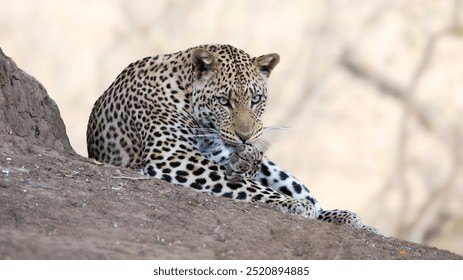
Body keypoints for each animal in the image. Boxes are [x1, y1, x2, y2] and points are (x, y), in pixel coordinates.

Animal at [87, 43, 380, 235]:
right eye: (223, 101)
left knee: (309, 196)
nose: (245, 136)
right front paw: (292, 204)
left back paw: (350, 219)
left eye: (256, 99)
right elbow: (246, 186)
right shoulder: (173, 156)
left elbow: (247, 179)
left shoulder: (216, 153)